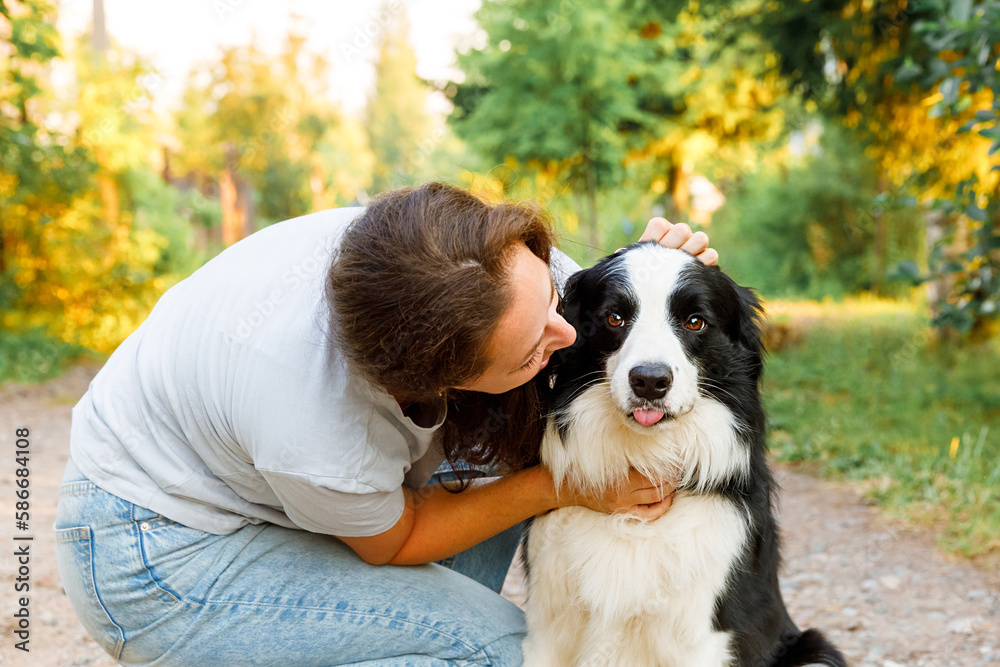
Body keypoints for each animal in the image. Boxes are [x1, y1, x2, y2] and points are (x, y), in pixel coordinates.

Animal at [524, 244, 844, 667]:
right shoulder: (546, 631)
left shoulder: (700, 640)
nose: (649, 381)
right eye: (614, 317)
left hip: (816, 650)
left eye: (695, 322)